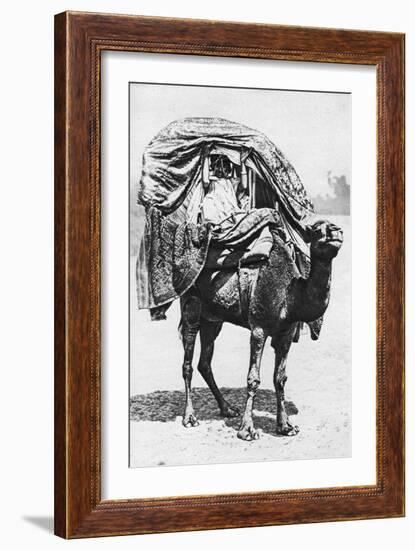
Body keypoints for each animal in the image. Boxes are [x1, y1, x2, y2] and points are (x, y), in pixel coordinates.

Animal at [179, 219, 344, 440]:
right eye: (317, 229)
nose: (336, 230)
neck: (291, 295)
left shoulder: (286, 333)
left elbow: (280, 378)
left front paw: (286, 426)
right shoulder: (259, 328)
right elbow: (253, 379)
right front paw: (247, 429)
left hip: (213, 319)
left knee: (204, 362)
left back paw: (227, 409)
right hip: (192, 305)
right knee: (188, 360)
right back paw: (190, 417)